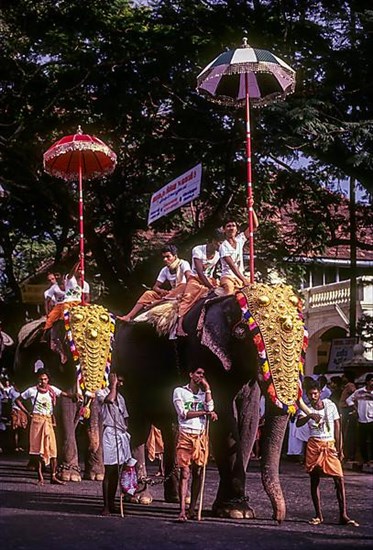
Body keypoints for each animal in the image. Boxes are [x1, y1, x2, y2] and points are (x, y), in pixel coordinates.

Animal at [113, 284, 308, 520]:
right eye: (242, 333)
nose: (276, 517)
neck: (227, 301)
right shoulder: (202, 352)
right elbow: (223, 415)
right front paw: (237, 511)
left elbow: (249, 418)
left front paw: (233, 510)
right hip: (127, 373)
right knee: (138, 425)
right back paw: (139, 497)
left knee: (172, 427)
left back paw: (180, 498)